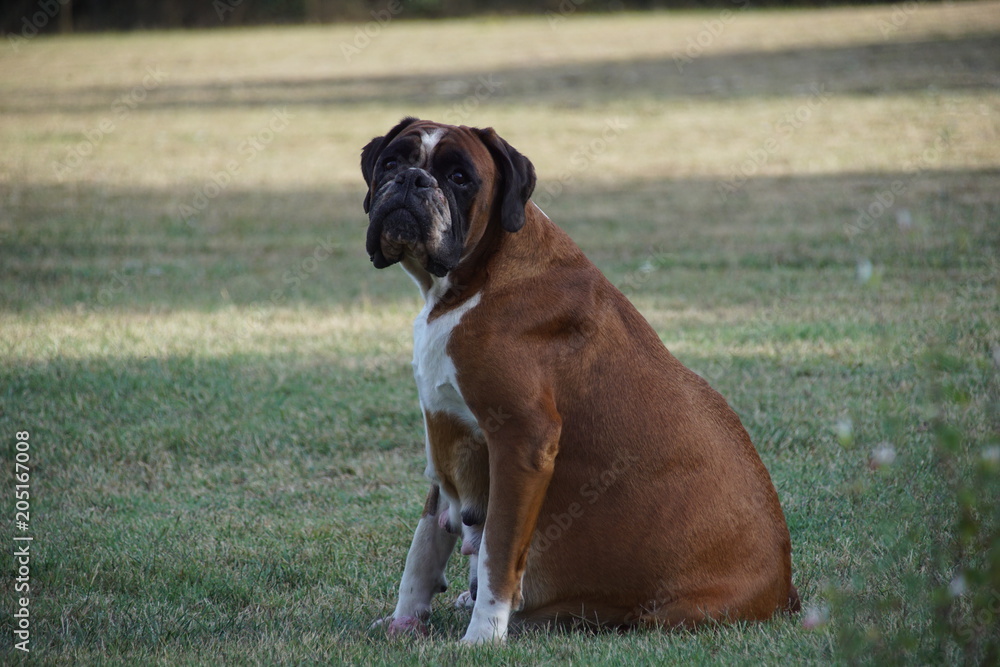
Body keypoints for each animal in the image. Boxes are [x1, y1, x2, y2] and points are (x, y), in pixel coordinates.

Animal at [360, 117, 796, 644]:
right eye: (391, 162)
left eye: (460, 178)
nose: (412, 180)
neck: (475, 278)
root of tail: (786, 588)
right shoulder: (447, 435)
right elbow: (424, 545)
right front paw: (405, 618)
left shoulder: (522, 442)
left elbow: (497, 552)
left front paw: (482, 637)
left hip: (659, 616)